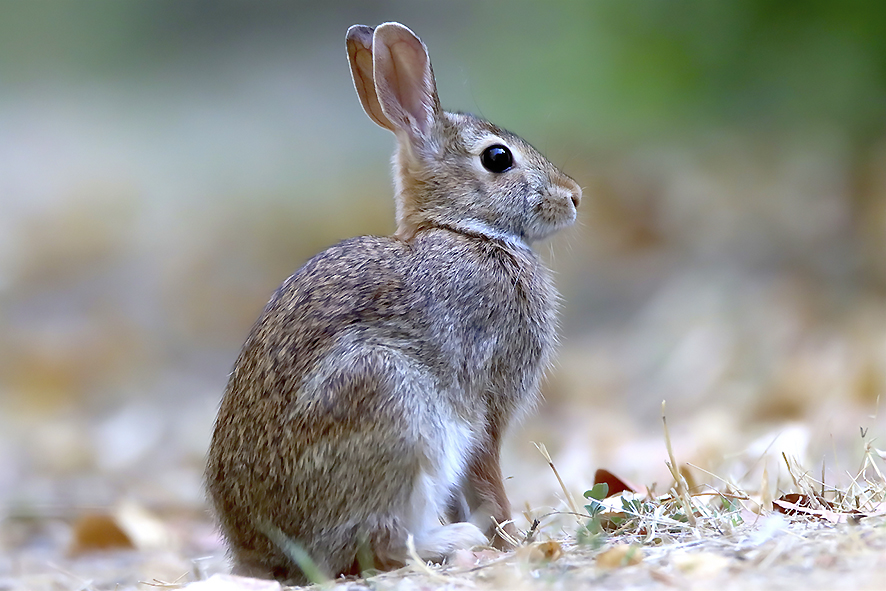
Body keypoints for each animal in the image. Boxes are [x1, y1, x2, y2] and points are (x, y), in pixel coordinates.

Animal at [206, 20, 588, 584]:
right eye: (498, 158)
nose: (574, 195)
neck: (464, 231)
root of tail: (266, 555)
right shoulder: (486, 405)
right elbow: (488, 481)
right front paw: (512, 541)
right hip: (397, 412)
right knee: (377, 545)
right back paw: (455, 542)